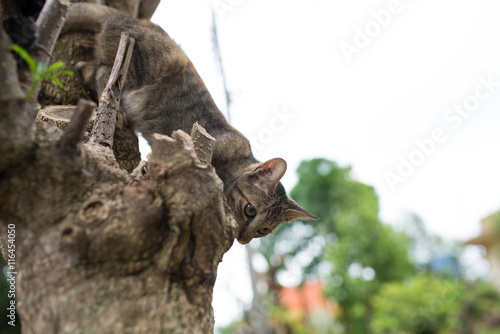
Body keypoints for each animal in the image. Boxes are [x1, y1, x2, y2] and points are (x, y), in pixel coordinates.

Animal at [61, 1, 316, 243]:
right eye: (250, 210)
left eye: (263, 231)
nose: (244, 239)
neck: (236, 159)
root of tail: (129, 18)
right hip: (138, 66)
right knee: (103, 74)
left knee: (86, 68)